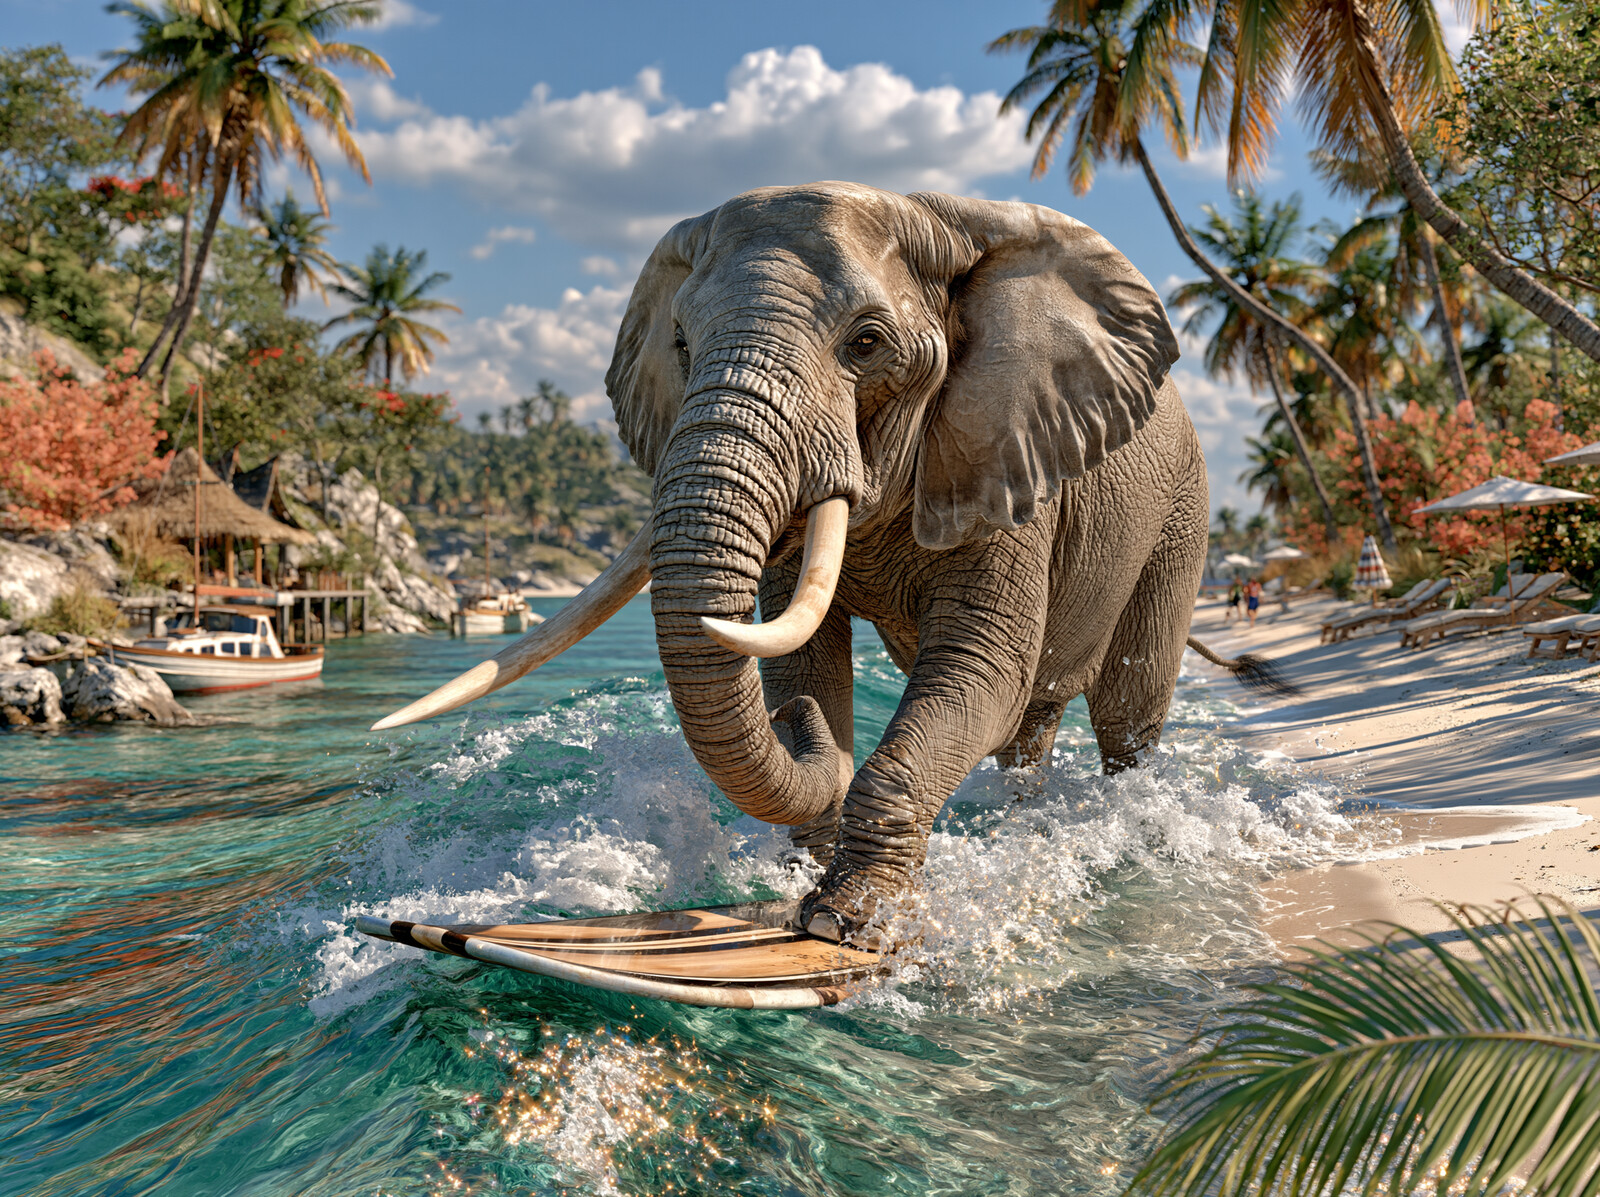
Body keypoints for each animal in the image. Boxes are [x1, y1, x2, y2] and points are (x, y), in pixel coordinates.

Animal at [377, 181, 1294, 944]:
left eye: (867, 343)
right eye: (681, 342)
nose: (801, 729)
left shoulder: (1006, 459)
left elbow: (978, 669)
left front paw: (842, 923)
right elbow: (810, 658)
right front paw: (797, 871)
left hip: (1182, 518)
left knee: (1125, 712)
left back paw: (1121, 826)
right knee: (1028, 728)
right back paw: (1022, 825)